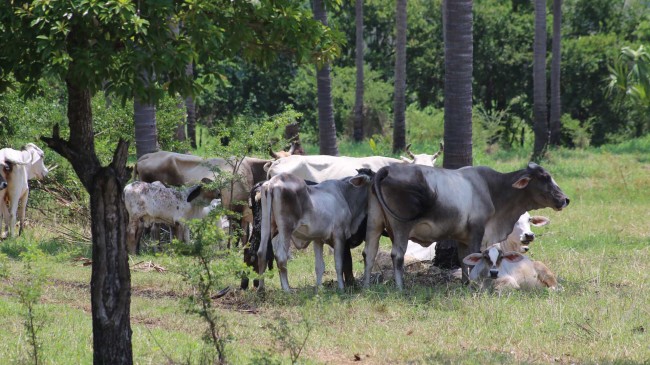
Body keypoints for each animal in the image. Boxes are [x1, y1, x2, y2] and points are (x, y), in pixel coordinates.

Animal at [362, 162, 568, 290]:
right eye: (544, 177)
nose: (565, 199)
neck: (493, 190)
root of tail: (386, 169)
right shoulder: (477, 232)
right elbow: (473, 257)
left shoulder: (462, 237)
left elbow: (464, 260)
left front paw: (465, 284)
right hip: (401, 227)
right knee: (397, 256)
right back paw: (400, 287)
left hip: (374, 223)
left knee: (369, 253)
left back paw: (366, 286)